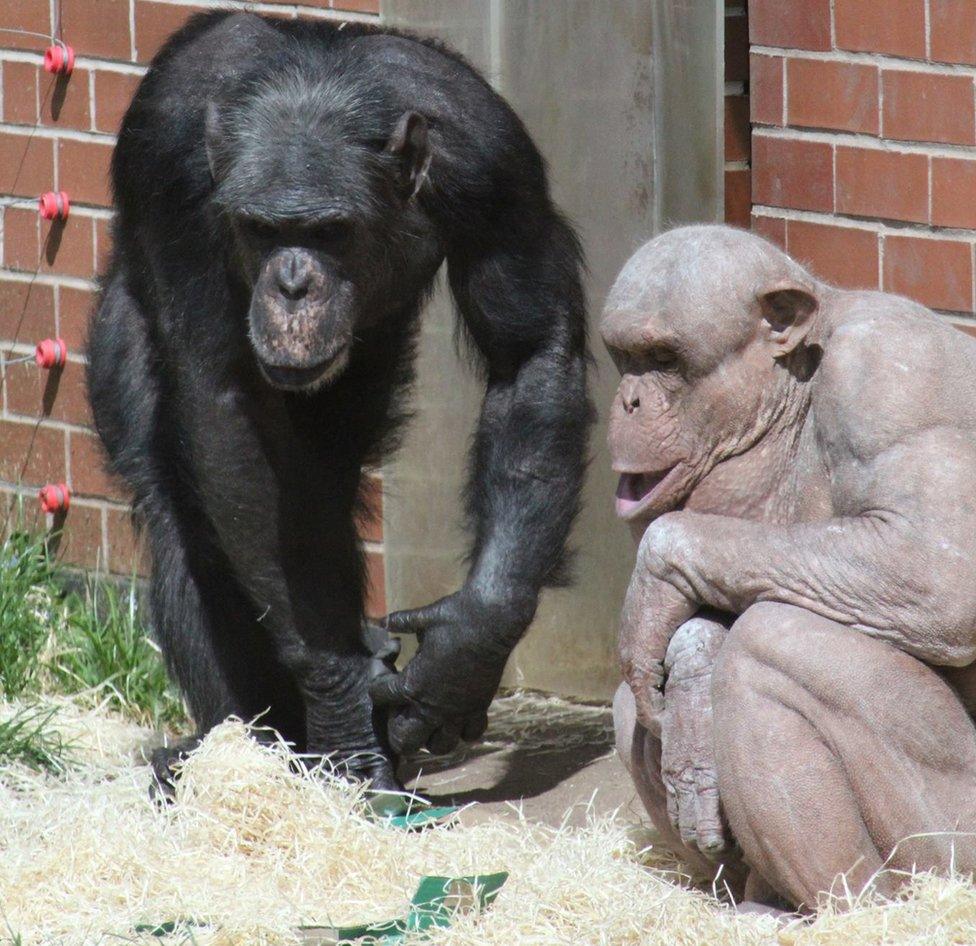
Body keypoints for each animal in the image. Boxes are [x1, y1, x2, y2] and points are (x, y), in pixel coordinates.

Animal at [87, 14, 588, 792]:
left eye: (330, 232)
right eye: (262, 230)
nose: (293, 284)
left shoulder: (492, 160)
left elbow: (531, 351)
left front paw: (463, 652)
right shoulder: (172, 180)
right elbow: (221, 404)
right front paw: (341, 698)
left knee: (325, 485)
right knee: (184, 505)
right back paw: (243, 743)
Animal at [608, 225, 976, 912]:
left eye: (664, 357)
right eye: (624, 357)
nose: (629, 400)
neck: (795, 392)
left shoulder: (893, 380)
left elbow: (940, 564)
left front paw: (658, 568)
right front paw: (693, 678)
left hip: (950, 842)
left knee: (775, 644)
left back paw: (845, 911)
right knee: (631, 703)